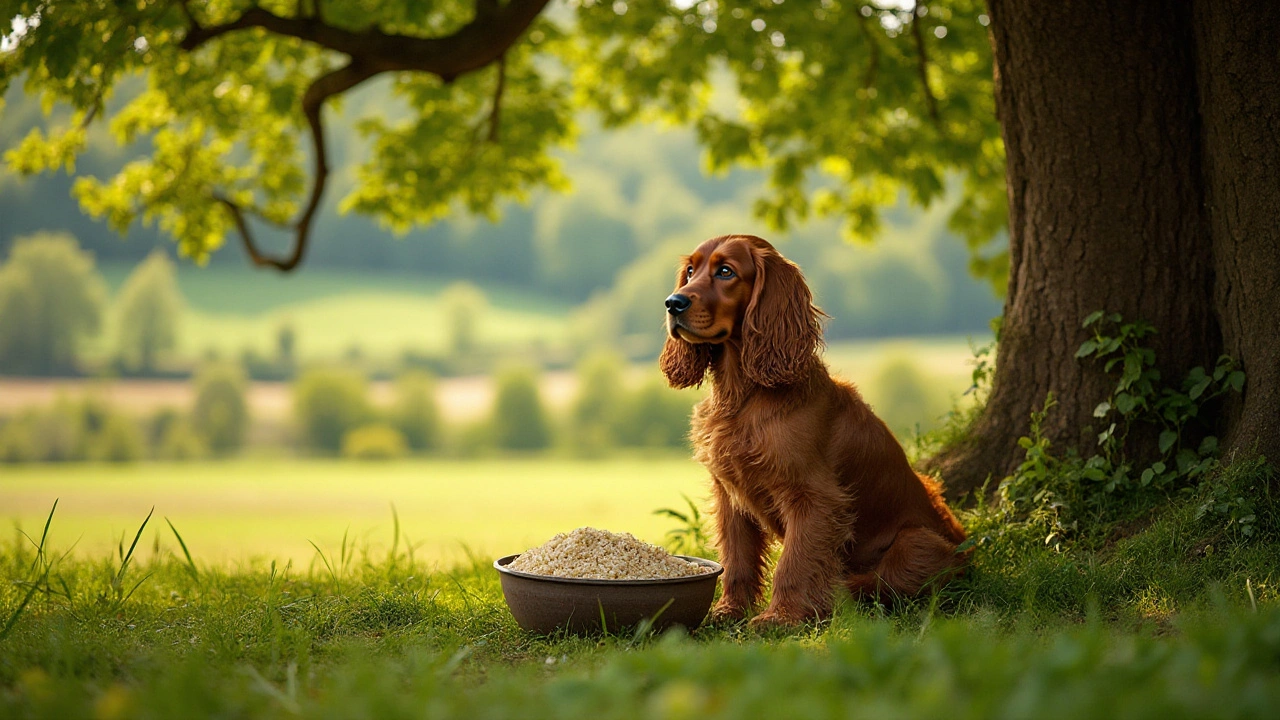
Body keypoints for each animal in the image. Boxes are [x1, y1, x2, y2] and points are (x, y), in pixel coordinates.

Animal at [660, 234, 967, 622]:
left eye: (726, 271)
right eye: (690, 271)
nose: (673, 303)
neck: (744, 396)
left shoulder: (813, 496)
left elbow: (795, 560)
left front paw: (781, 616)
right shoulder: (729, 494)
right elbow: (737, 557)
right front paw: (730, 610)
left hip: (915, 542)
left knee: (880, 582)